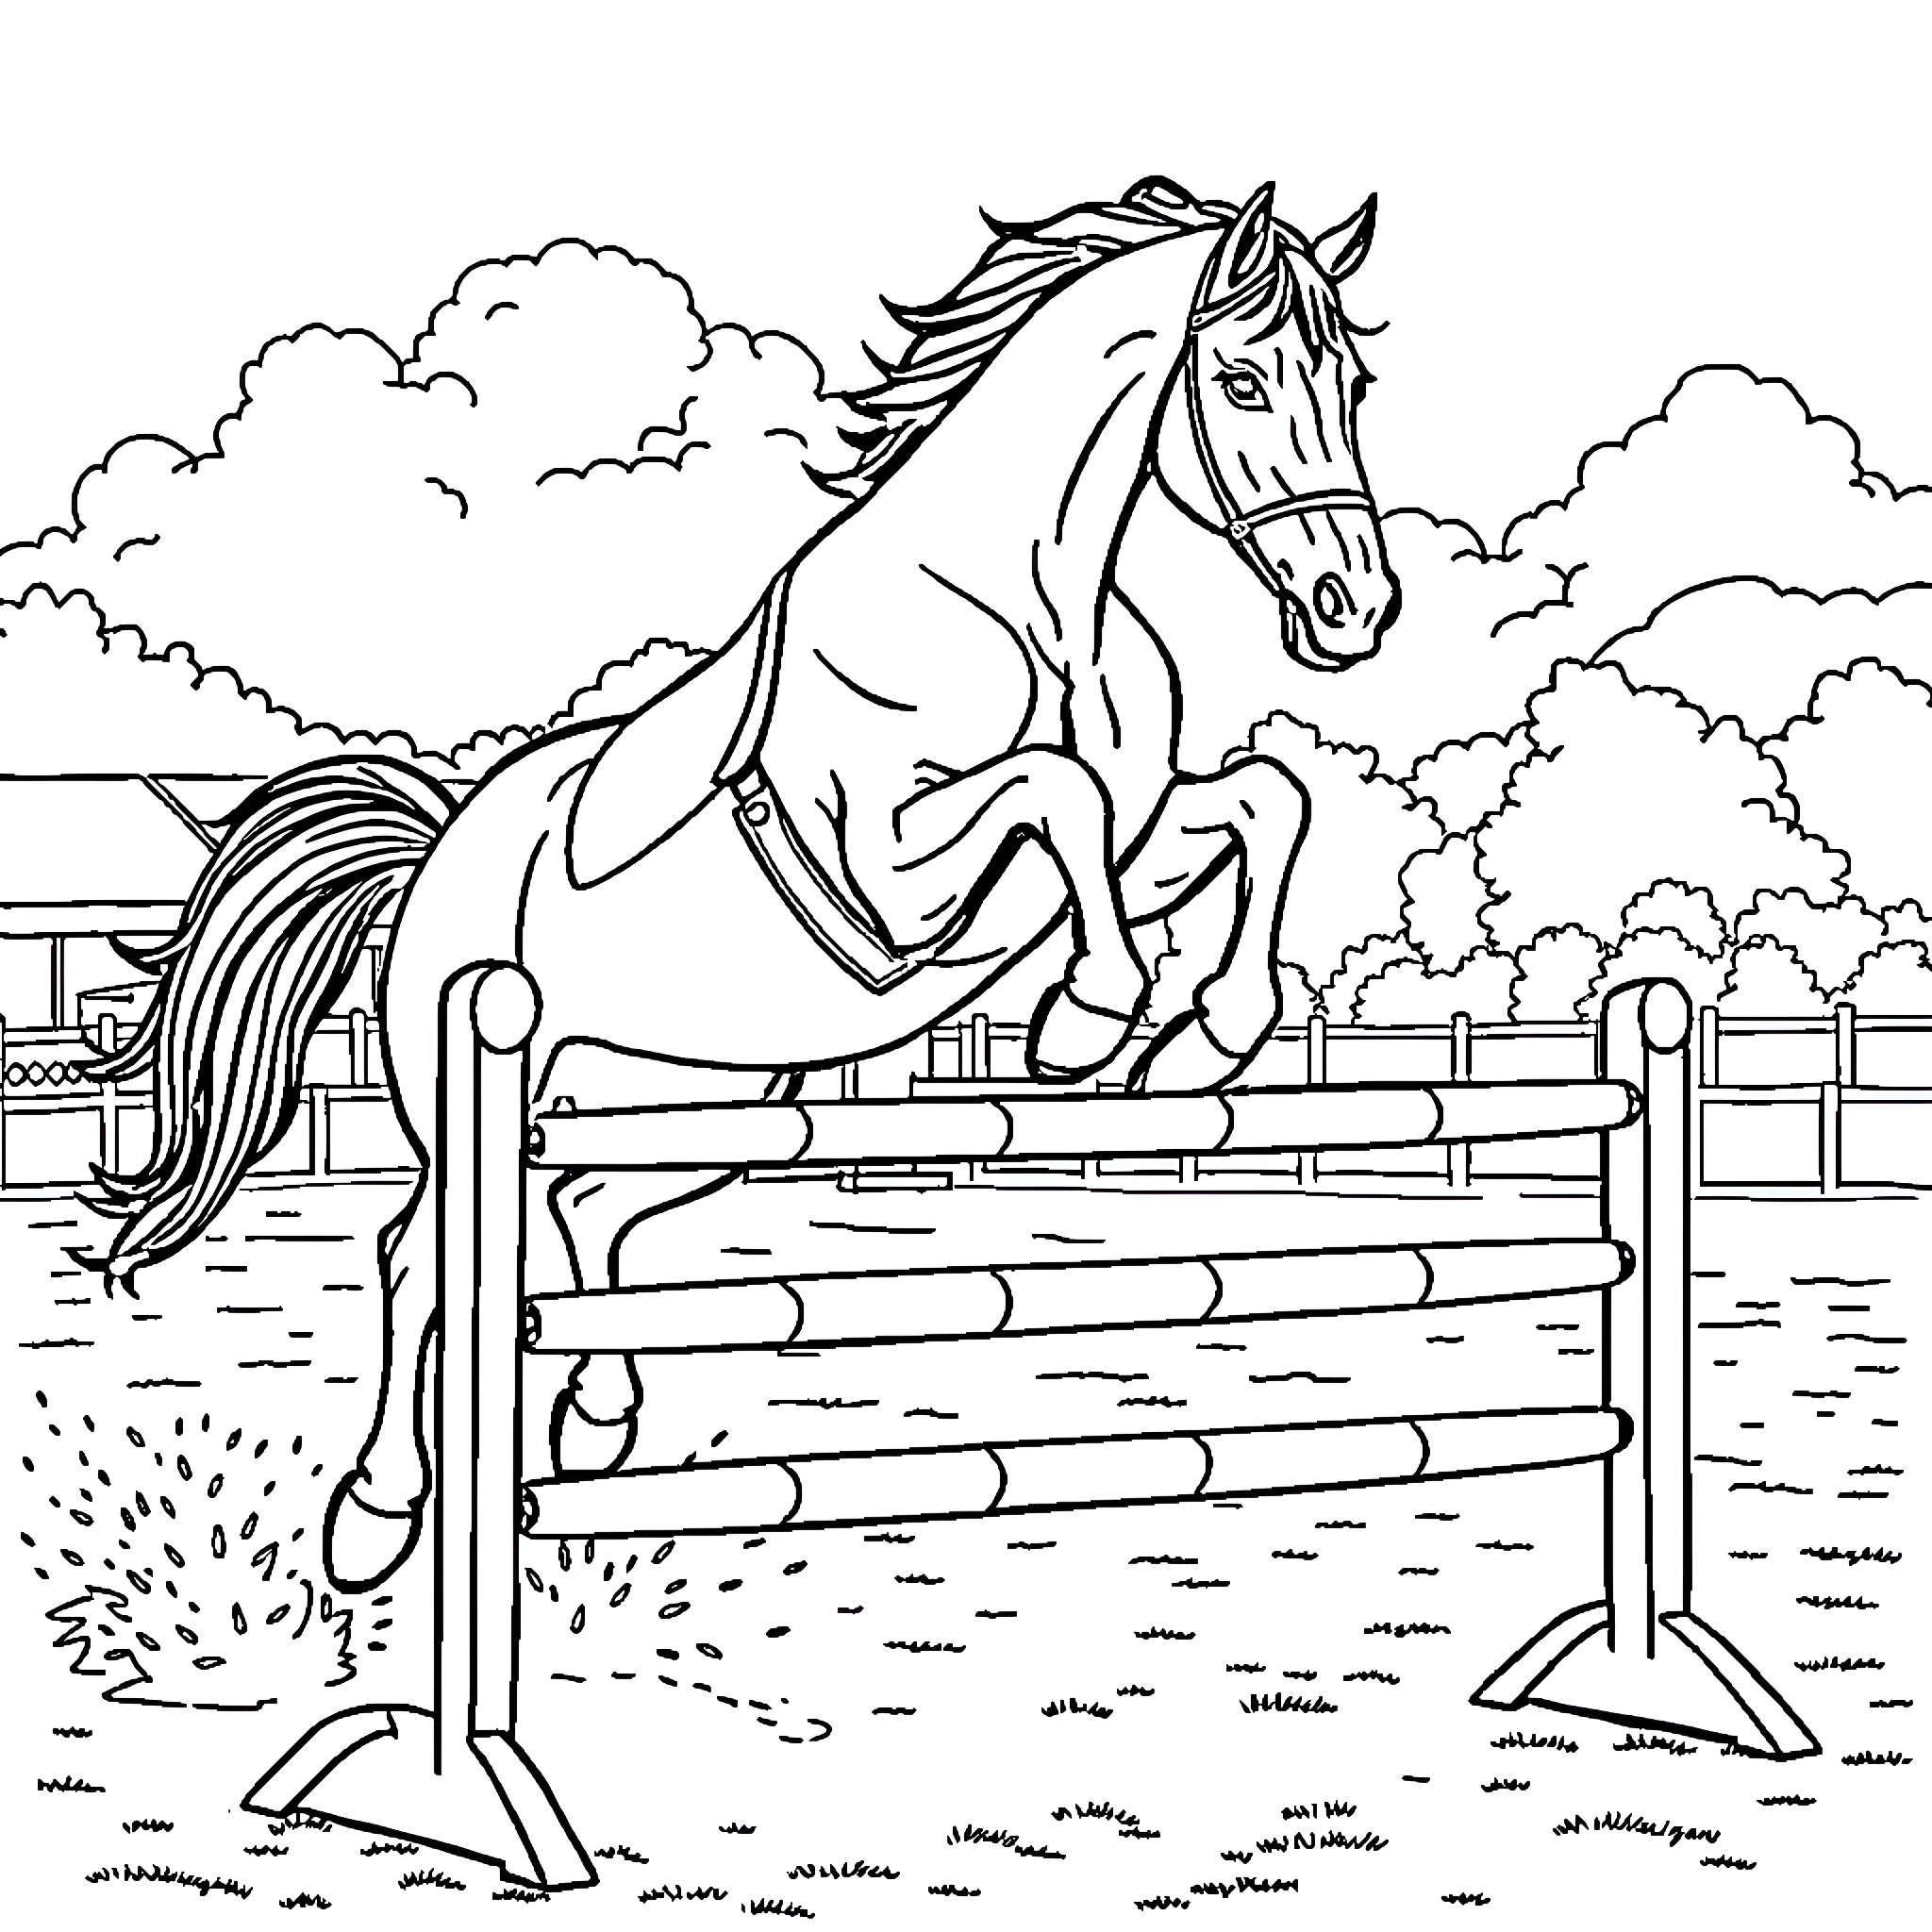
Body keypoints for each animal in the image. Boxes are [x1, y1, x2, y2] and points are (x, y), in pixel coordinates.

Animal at [85, 175, 1400, 1596]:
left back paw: (598, 1421)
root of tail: (443, 841)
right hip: (479, 1084)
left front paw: (1201, 1040)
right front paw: (1086, 1023)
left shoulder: (1140, 831)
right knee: (418, 1257)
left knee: (584, 1209)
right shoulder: (892, 874)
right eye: (1245, 378)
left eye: (1353, 381)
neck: (1027, 605)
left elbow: (1261, 800)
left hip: (689, 1099)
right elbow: (1056, 793)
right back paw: (377, 1517)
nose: (1355, 607)